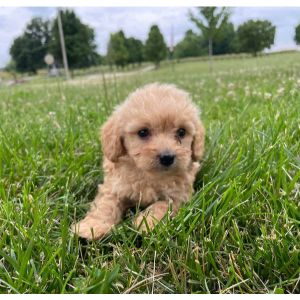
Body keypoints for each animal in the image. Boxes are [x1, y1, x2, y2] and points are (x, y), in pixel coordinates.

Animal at [72, 83, 204, 240]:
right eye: (143, 132)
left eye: (181, 132)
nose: (167, 157)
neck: (149, 175)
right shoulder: (114, 185)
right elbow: (105, 204)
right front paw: (92, 227)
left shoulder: (180, 194)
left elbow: (163, 204)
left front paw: (147, 223)